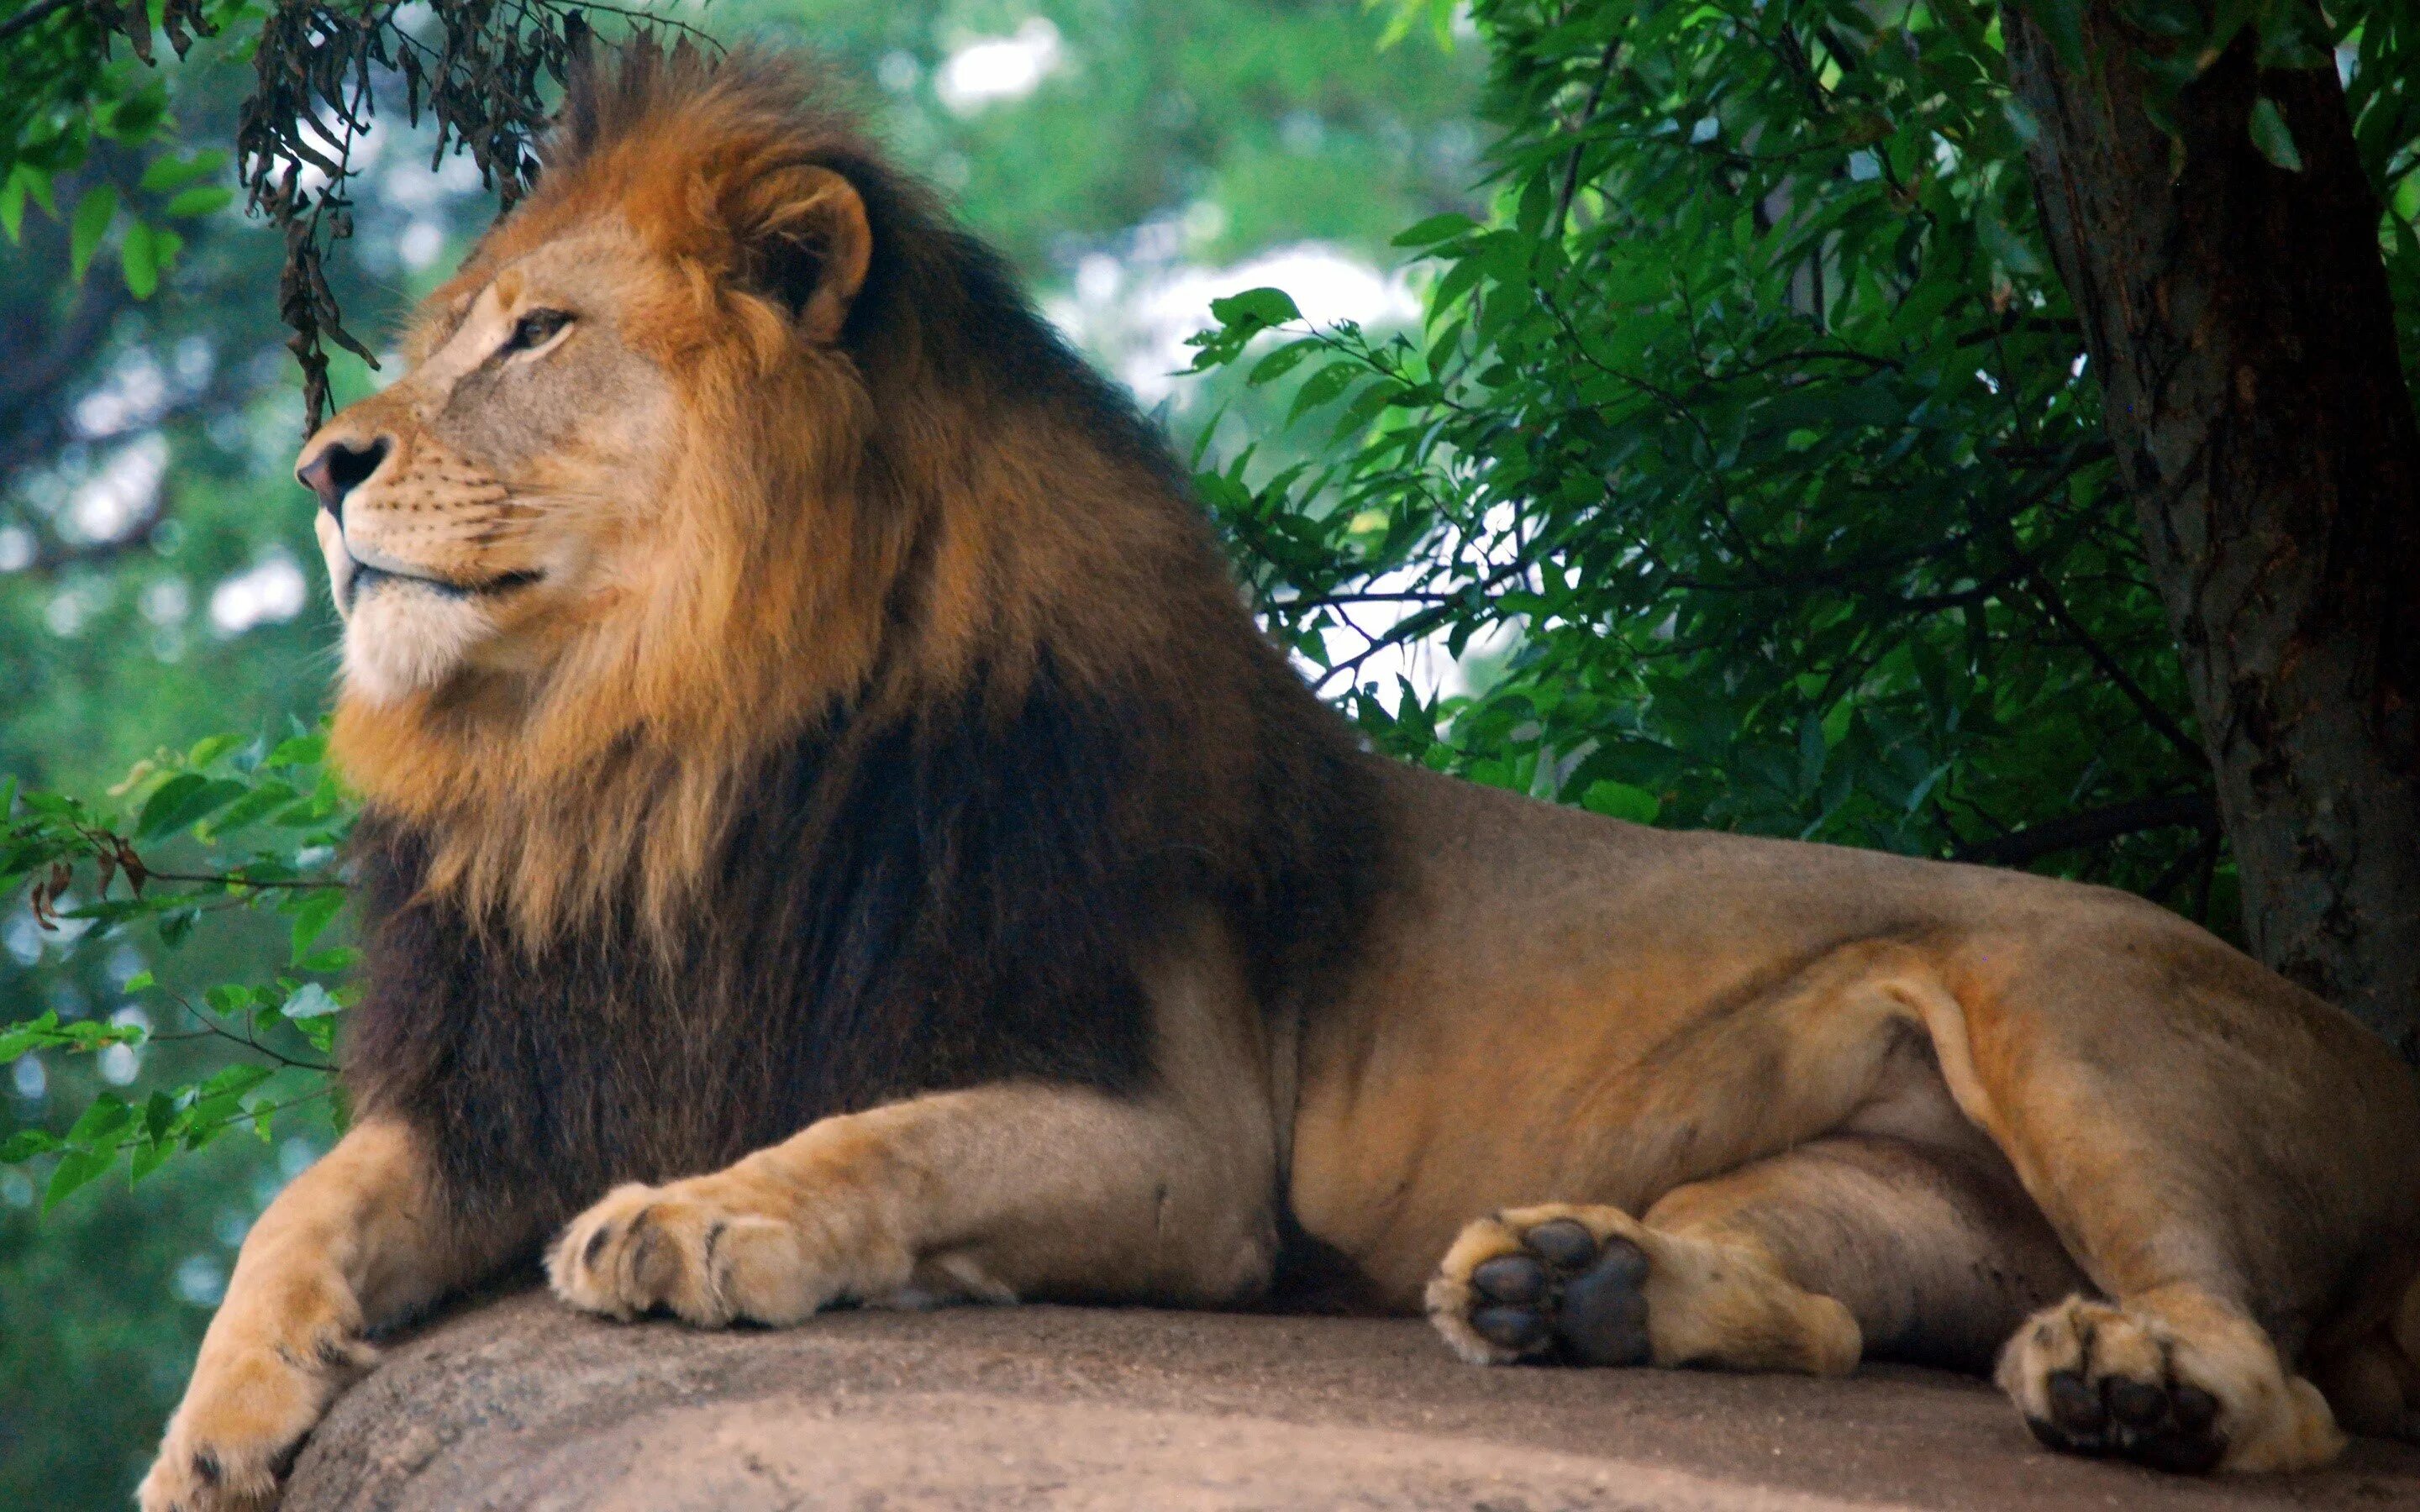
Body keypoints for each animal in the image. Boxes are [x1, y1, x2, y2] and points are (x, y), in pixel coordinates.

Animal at [137, 40, 2420, 1499]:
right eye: (443, 332)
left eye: (537, 337)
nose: (324, 459)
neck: (651, 748)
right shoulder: (531, 1074)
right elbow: (303, 1213)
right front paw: (216, 1426)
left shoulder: (1184, 1140)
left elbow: (884, 1140)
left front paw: (704, 1220)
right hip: (1867, 1183)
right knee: (1838, 1325)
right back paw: (1575, 1288)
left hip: (2070, 1019)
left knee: (2277, 1380)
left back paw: (2135, 1387)